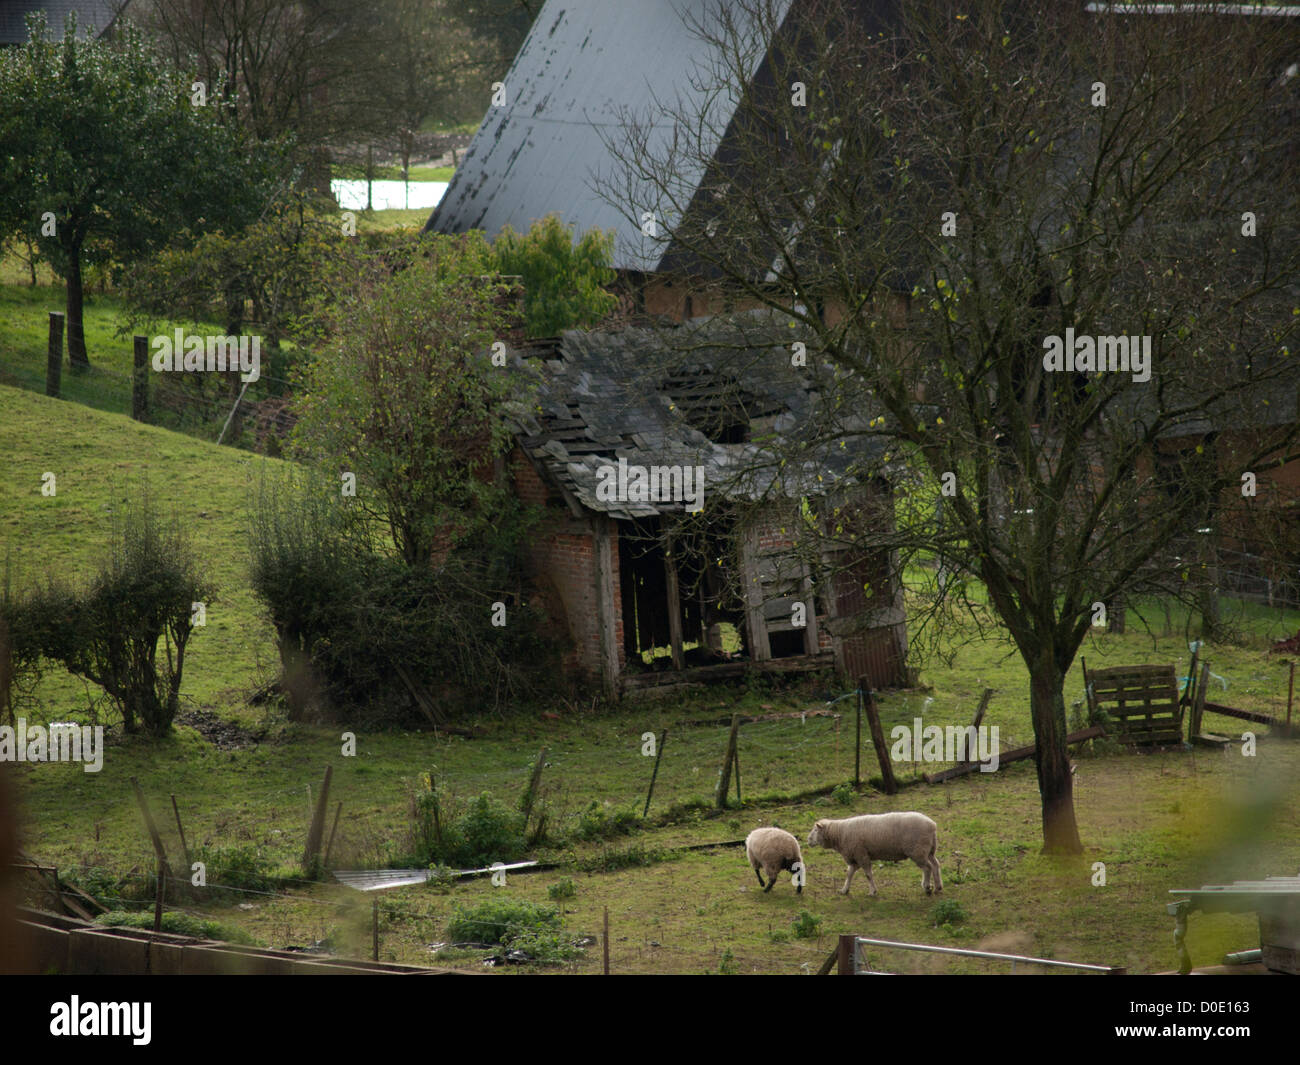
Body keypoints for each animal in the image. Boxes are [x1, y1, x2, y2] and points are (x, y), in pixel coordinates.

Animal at [800, 816, 946, 899]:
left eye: (815, 830)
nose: (808, 840)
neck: (839, 833)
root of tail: (932, 825)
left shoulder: (861, 854)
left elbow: (868, 875)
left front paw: (872, 892)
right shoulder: (855, 858)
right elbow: (849, 874)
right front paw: (844, 890)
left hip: (917, 850)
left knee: (927, 868)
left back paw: (927, 887)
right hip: (929, 849)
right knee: (935, 865)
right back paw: (938, 887)